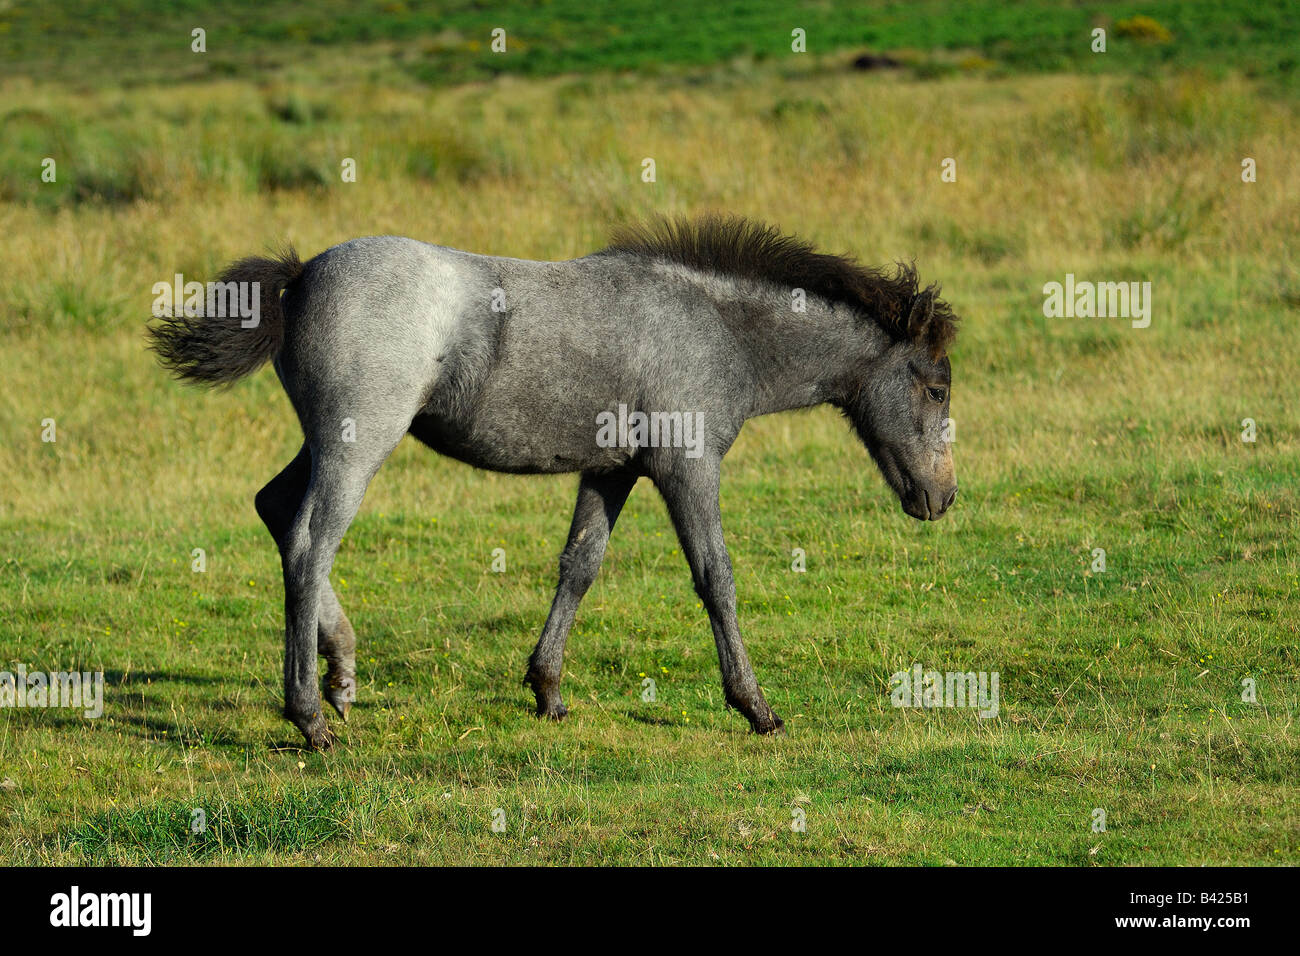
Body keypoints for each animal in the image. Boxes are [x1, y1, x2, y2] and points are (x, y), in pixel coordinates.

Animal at [149, 215, 959, 749]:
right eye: (938, 388)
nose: (942, 498)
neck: (714, 328)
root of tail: (299, 277)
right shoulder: (687, 466)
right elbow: (715, 578)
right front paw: (755, 707)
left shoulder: (611, 471)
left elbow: (579, 566)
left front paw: (547, 691)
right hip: (359, 443)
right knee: (309, 544)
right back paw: (310, 714)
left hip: (328, 443)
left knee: (276, 510)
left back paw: (342, 674)